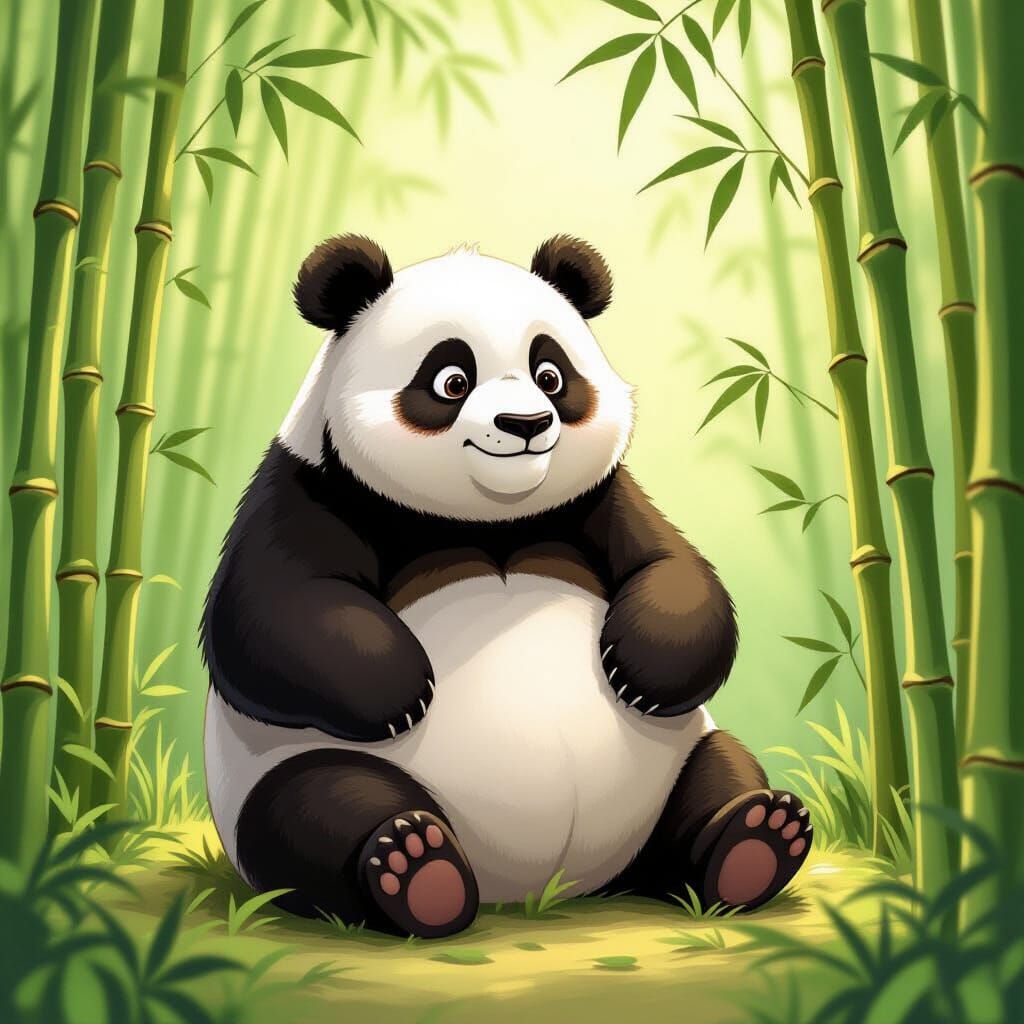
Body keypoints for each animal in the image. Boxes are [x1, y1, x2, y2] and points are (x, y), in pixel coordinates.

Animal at [202, 234, 812, 938]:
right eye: (451, 380)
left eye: (551, 374)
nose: (525, 423)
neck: (493, 518)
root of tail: (539, 885)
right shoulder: (308, 489)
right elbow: (266, 615)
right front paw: (402, 689)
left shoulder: (601, 497)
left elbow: (673, 567)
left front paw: (640, 673)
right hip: (283, 774)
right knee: (315, 807)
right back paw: (416, 869)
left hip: (680, 757)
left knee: (718, 772)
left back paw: (754, 840)